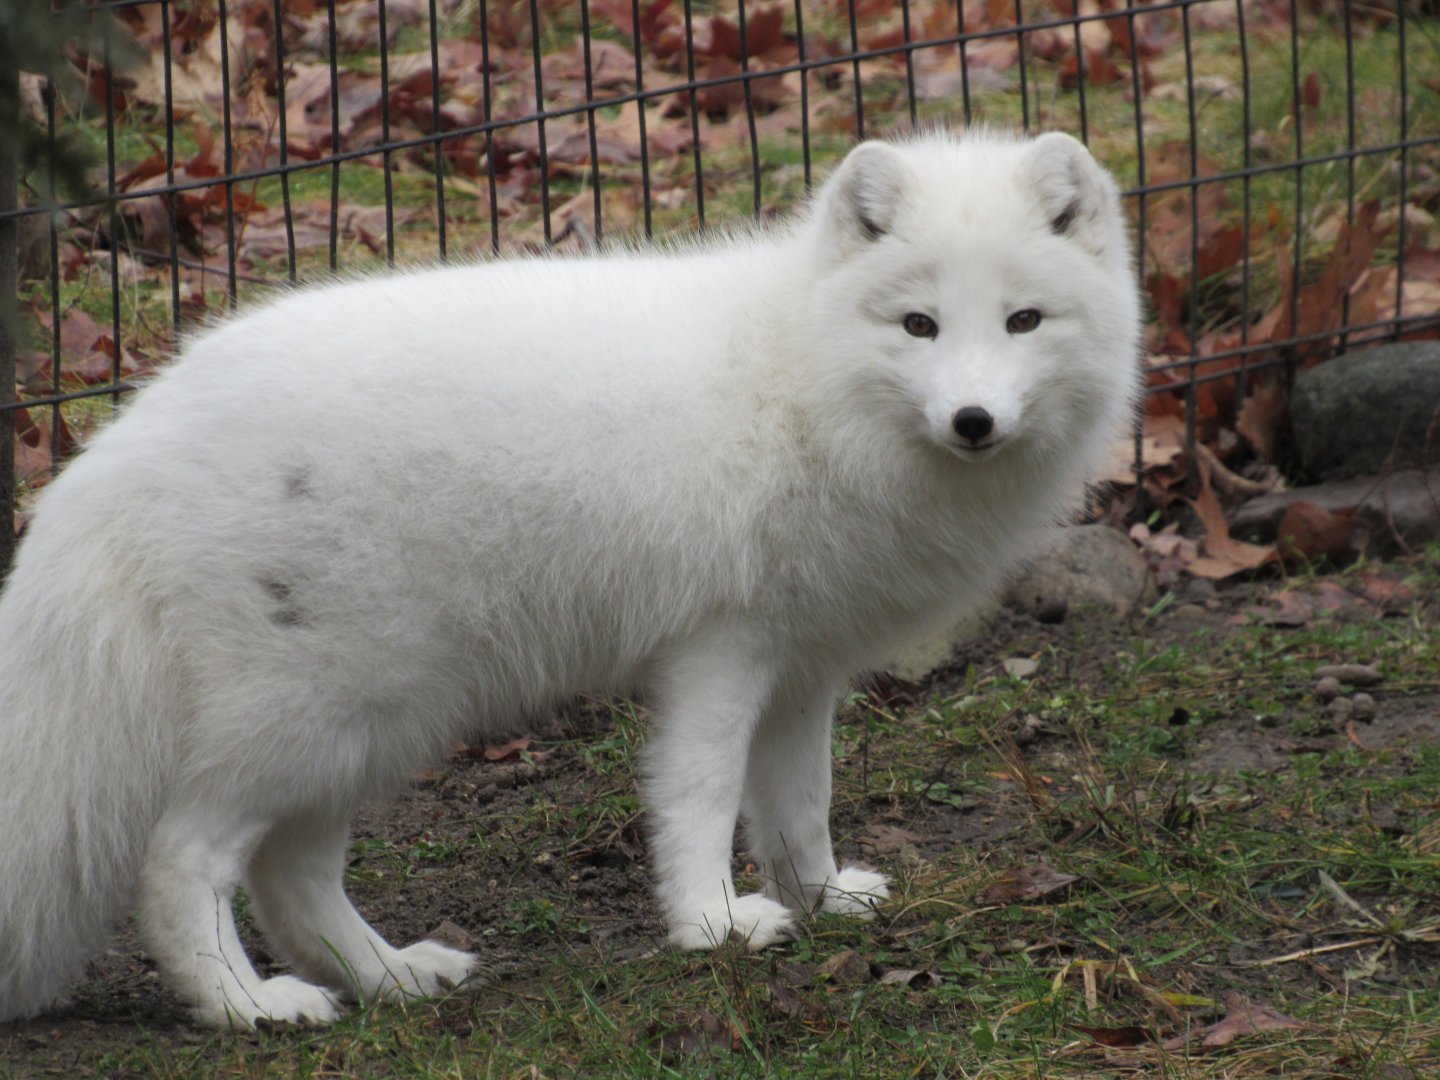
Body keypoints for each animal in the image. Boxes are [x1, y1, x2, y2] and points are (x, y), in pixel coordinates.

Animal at [0, 129, 1140, 1028]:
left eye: (1024, 322)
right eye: (919, 326)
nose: (975, 422)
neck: (798, 376)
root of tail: (125, 440)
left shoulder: (803, 668)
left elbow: (799, 806)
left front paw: (822, 902)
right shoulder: (720, 649)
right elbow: (701, 796)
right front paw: (712, 924)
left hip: (371, 725)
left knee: (293, 879)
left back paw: (389, 979)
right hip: (320, 714)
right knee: (181, 859)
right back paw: (247, 1007)